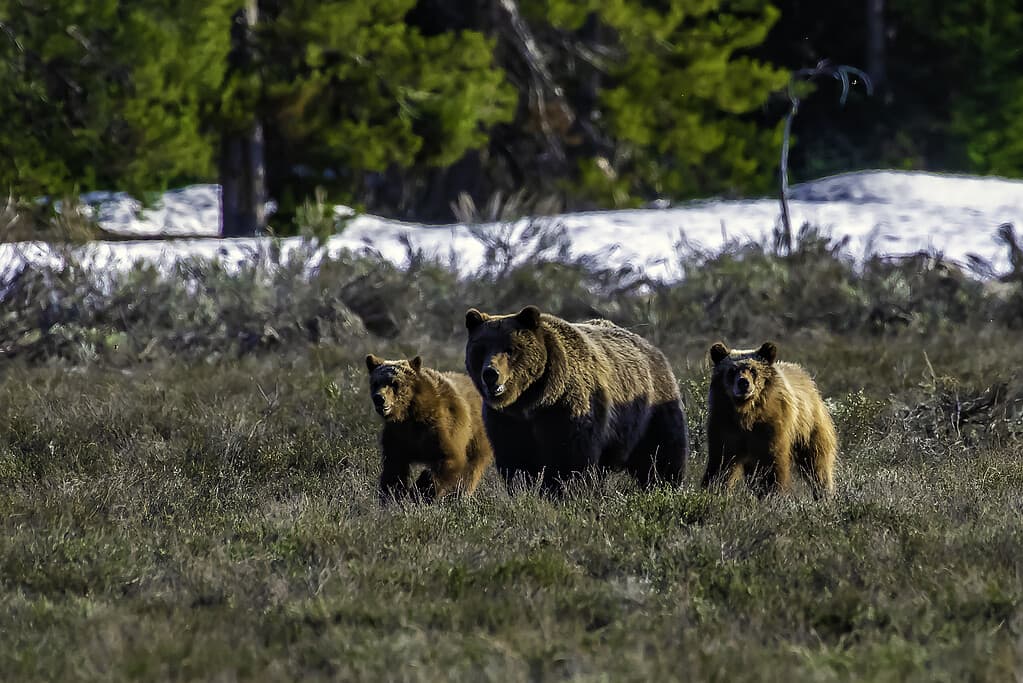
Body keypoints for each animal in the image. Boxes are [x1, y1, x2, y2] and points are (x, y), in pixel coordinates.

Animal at [368, 355, 495, 505]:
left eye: (395, 383)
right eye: (375, 383)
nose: (379, 398)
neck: (410, 414)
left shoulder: (442, 428)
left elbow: (448, 458)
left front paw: (419, 492)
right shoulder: (398, 435)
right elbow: (394, 469)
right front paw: (392, 496)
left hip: (477, 438)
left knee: (471, 471)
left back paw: (459, 496)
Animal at [462, 306, 687, 492]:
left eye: (510, 349)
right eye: (481, 349)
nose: (490, 373)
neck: (532, 402)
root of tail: (651, 346)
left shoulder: (568, 409)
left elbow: (569, 460)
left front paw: (562, 491)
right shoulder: (507, 422)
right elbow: (516, 462)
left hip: (651, 410)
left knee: (661, 454)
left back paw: (664, 486)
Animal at [703, 341, 838, 496]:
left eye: (753, 370)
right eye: (731, 370)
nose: (743, 383)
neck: (746, 413)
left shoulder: (770, 427)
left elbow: (771, 465)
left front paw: (773, 492)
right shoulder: (724, 423)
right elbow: (721, 461)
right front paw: (713, 487)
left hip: (810, 428)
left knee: (817, 464)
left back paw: (824, 492)